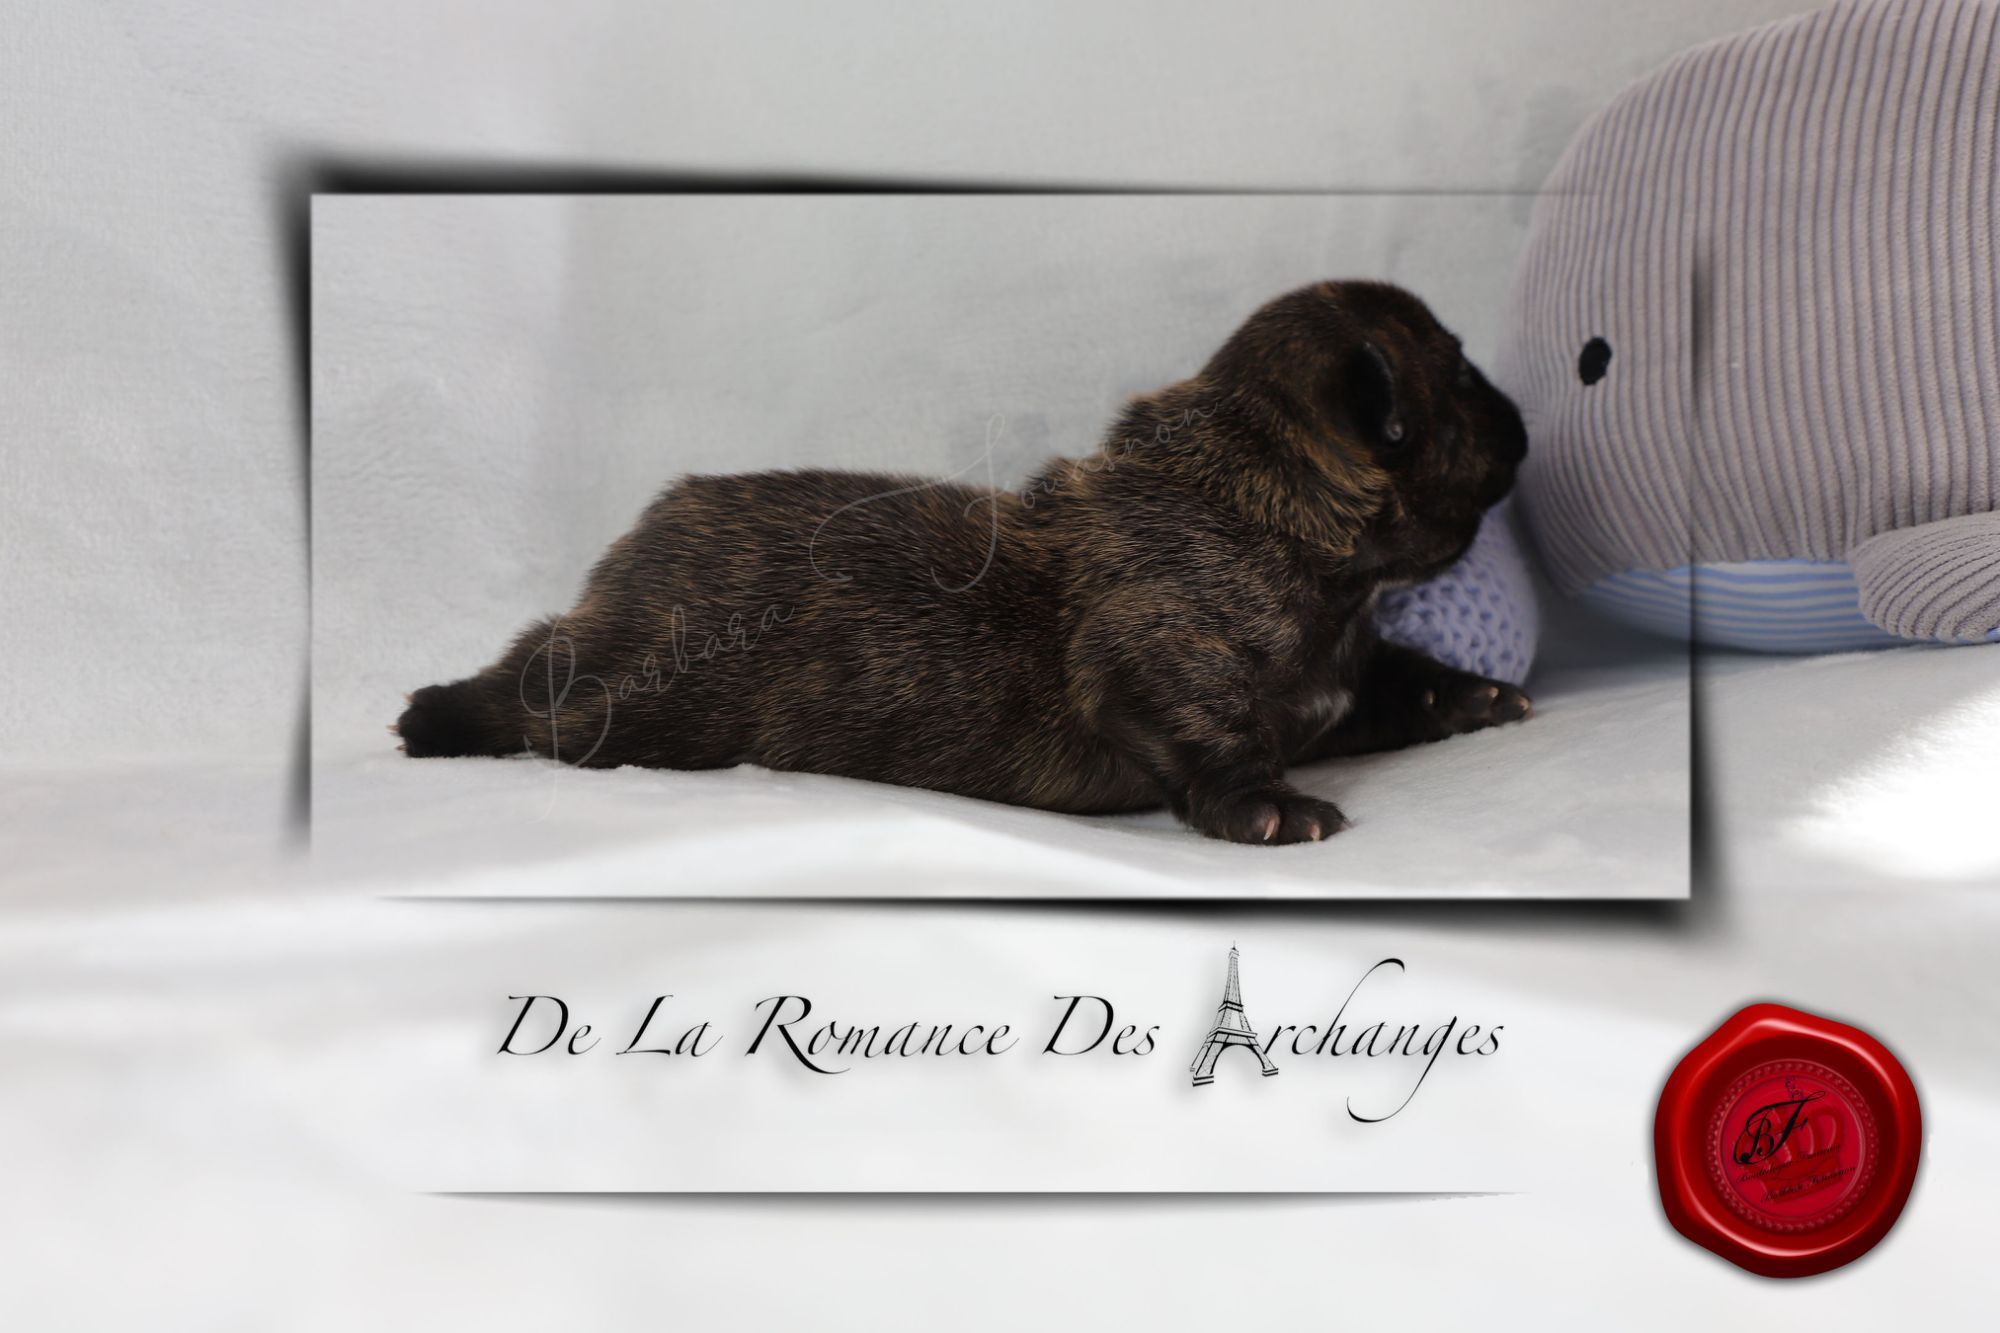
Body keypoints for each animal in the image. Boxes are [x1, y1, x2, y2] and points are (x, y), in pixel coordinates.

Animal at [396, 280, 1531, 844]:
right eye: (1460, 382)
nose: (1524, 421)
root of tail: (626, 564)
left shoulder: (1339, 677)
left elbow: (1393, 681)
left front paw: (1469, 694)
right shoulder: (1153, 655)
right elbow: (1210, 729)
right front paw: (1265, 805)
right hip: (630, 700)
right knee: (537, 684)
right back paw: (443, 714)